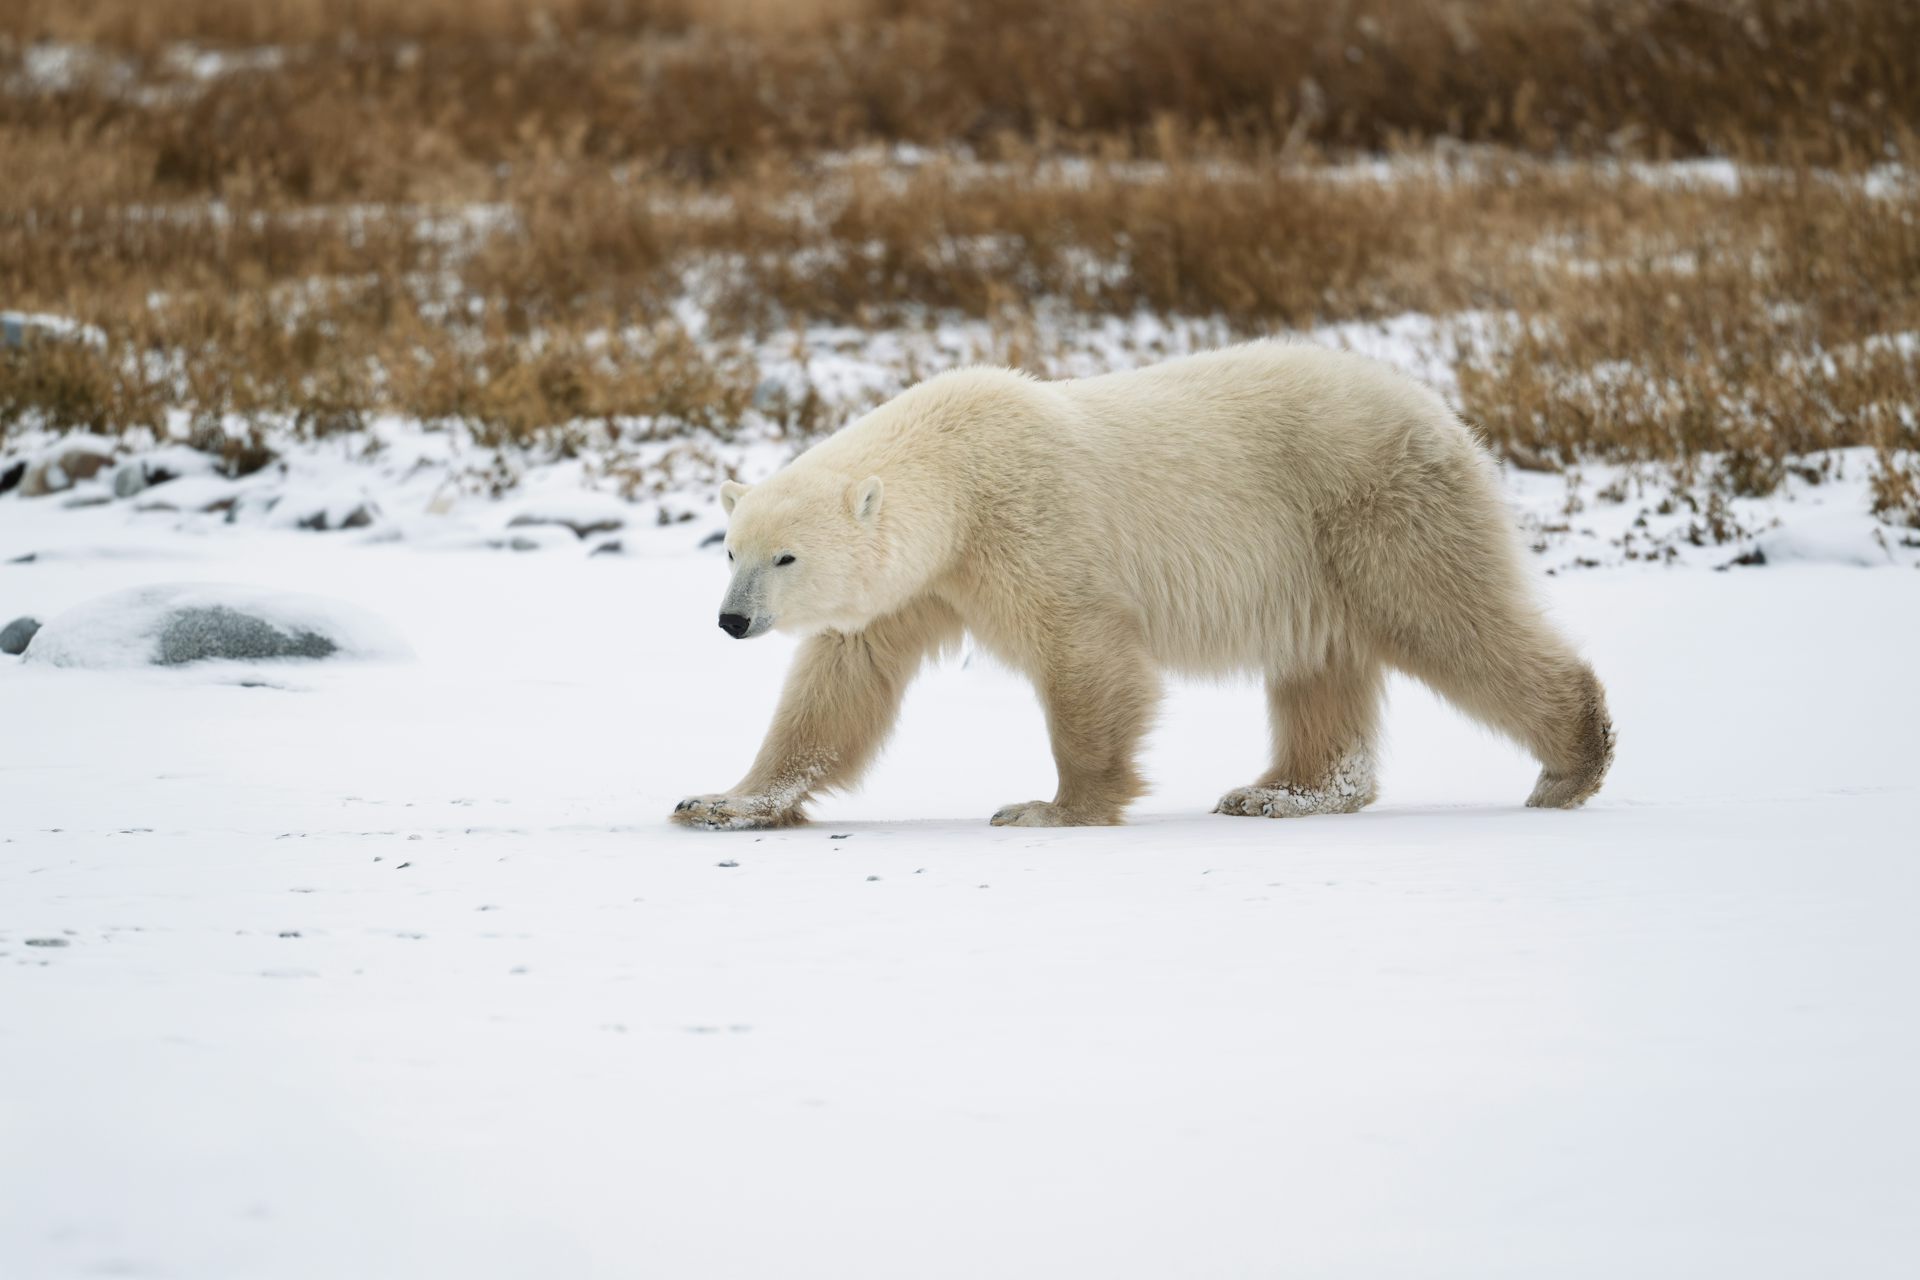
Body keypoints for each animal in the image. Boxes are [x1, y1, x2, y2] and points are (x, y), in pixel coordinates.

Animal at [673, 341, 1614, 830]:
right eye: (731, 552)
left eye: (786, 558)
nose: (730, 621)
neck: (959, 473)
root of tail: (1442, 415)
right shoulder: (921, 585)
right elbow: (839, 687)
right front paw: (720, 801)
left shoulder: (1032, 529)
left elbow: (1085, 660)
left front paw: (1050, 807)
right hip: (1320, 558)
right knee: (1320, 671)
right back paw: (1278, 792)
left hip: (1374, 512)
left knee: (1451, 624)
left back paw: (1571, 763)